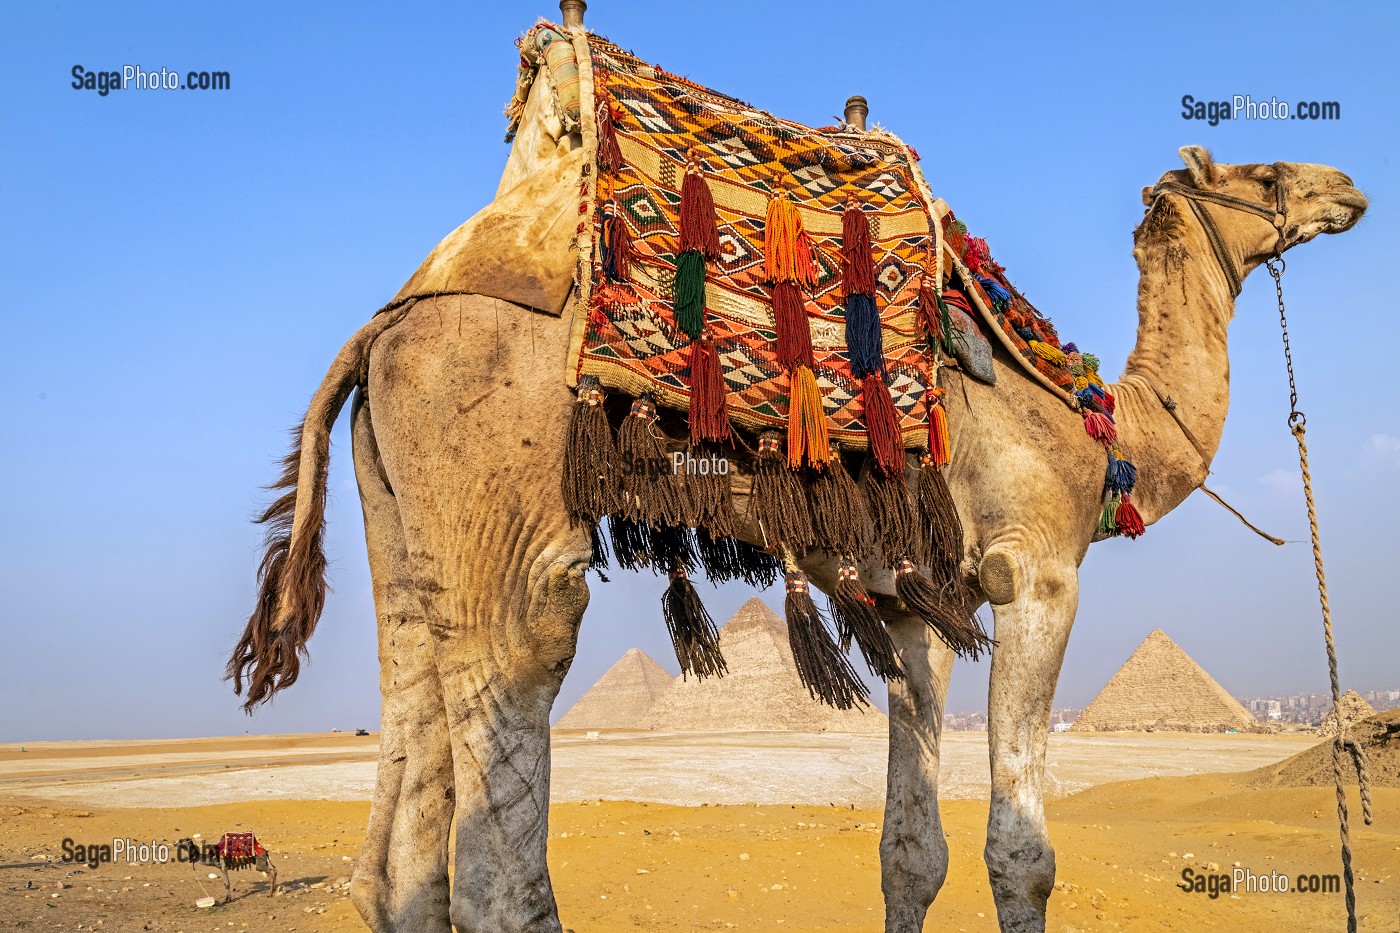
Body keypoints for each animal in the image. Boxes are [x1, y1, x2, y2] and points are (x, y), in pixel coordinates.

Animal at [226, 23, 1366, 930]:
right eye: (1262, 175)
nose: (1346, 185)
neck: (1097, 418)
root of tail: (385, 326)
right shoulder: (1036, 570)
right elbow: (1021, 855)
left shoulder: (914, 603)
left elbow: (911, 854)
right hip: (498, 509)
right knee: (512, 751)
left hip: (398, 513)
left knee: (397, 835)